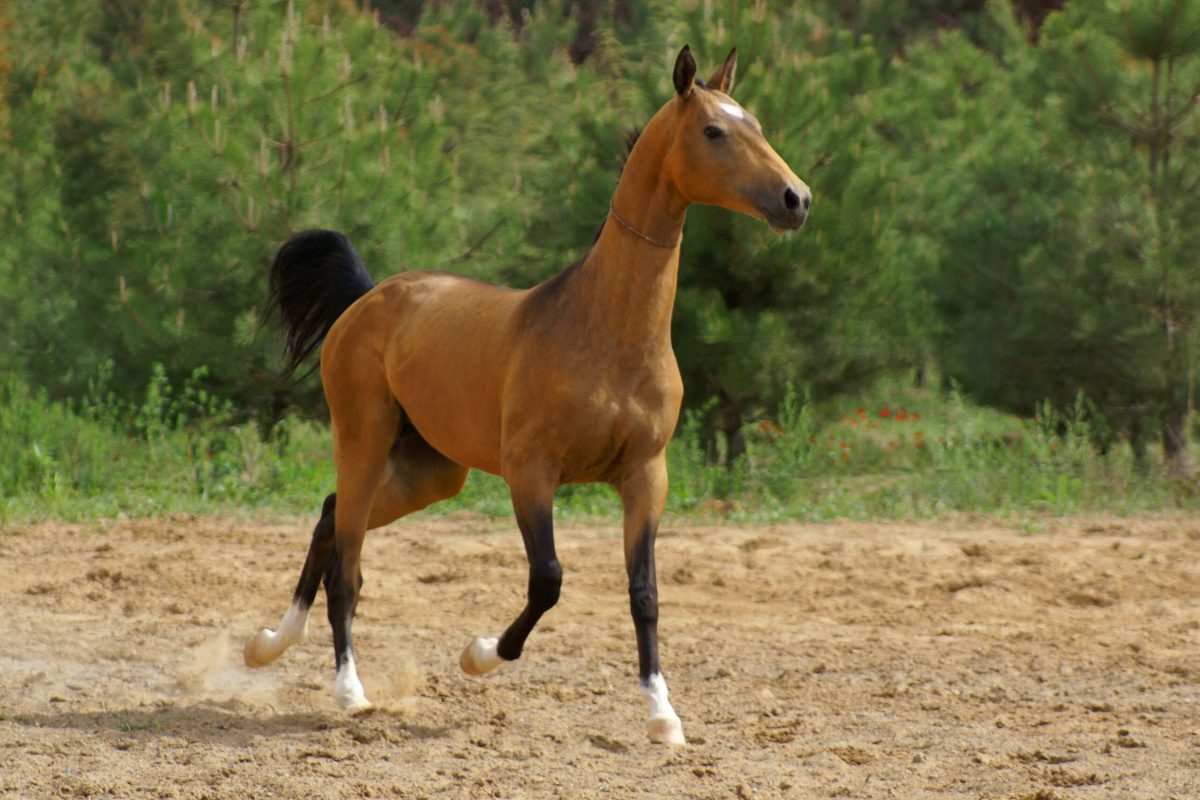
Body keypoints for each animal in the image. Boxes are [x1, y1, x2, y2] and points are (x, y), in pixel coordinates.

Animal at [244, 45, 810, 745]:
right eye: (713, 131)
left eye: (753, 122)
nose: (795, 199)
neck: (601, 333)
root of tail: (368, 298)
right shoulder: (531, 473)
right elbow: (548, 581)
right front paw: (479, 655)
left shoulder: (645, 477)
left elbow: (644, 594)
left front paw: (663, 715)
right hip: (364, 439)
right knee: (345, 561)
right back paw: (349, 691)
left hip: (431, 472)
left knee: (328, 518)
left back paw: (268, 643)